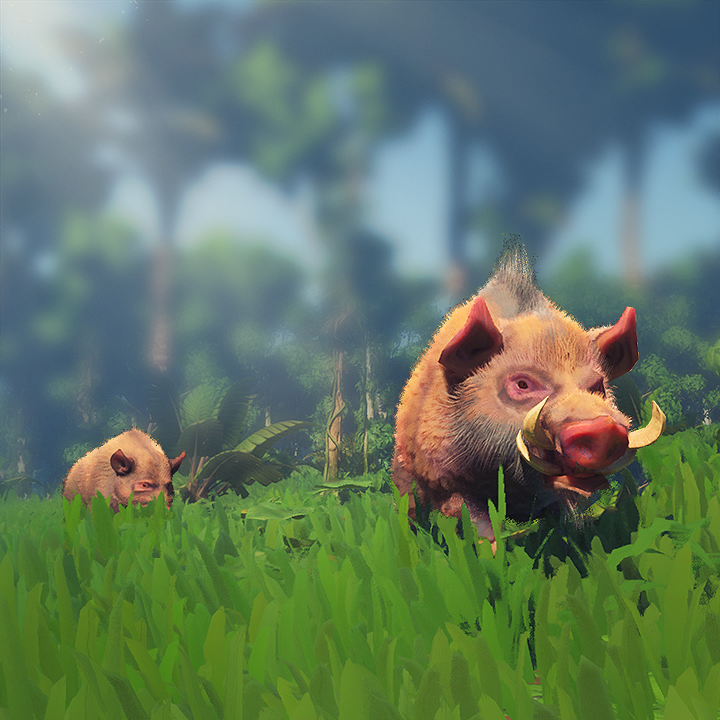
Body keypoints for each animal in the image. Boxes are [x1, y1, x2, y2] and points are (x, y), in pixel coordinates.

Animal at [393, 245, 666, 542]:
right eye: (523, 385)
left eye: (598, 386)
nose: (603, 428)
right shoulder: (447, 483)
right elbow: (480, 530)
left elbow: (568, 527)